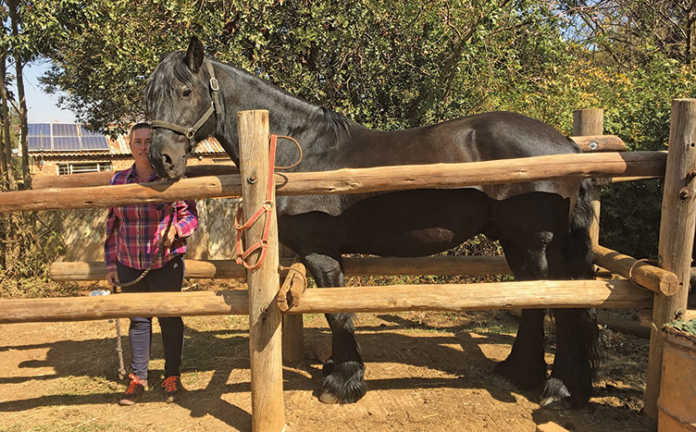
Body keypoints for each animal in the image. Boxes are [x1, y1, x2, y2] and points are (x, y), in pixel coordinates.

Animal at [145, 36, 599, 408]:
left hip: (534, 242)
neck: (303, 151)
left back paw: (555, 387)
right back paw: (524, 374)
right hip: (518, 243)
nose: (161, 159)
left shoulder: (321, 253)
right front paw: (337, 370)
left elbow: (337, 313)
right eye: (151, 97)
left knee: (557, 302)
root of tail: (566, 145)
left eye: (185, 90)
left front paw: (342, 383)